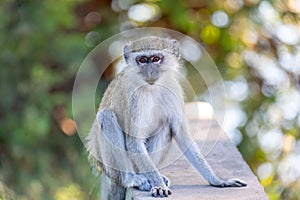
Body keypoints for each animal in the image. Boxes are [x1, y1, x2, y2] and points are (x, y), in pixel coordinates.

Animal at [85, 36, 247, 198]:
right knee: (106, 117)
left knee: (165, 126)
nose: (150, 72)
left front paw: (218, 180)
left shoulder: (173, 90)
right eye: (142, 60)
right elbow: (134, 142)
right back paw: (132, 178)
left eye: (156, 59)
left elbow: (183, 137)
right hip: (110, 167)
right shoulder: (134, 98)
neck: (152, 87)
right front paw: (158, 185)